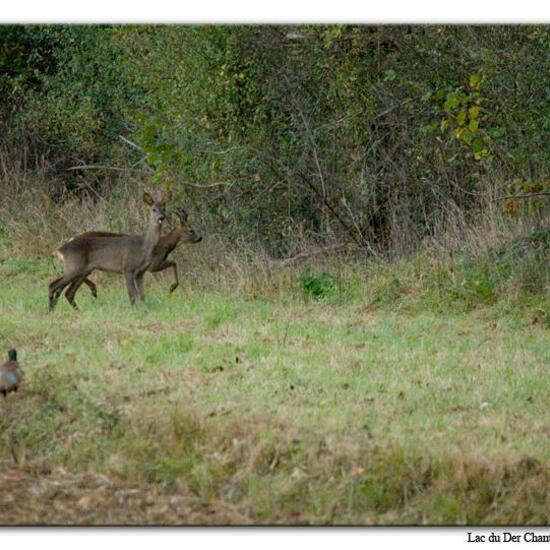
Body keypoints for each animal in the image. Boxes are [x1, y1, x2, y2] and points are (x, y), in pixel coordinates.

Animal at [64, 209, 203, 308]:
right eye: (191, 230)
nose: (200, 238)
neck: (165, 245)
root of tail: (71, 239)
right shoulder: (154, 264)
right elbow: (174, 263)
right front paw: (172, 287)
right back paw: (93, 289)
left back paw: (92, 290)